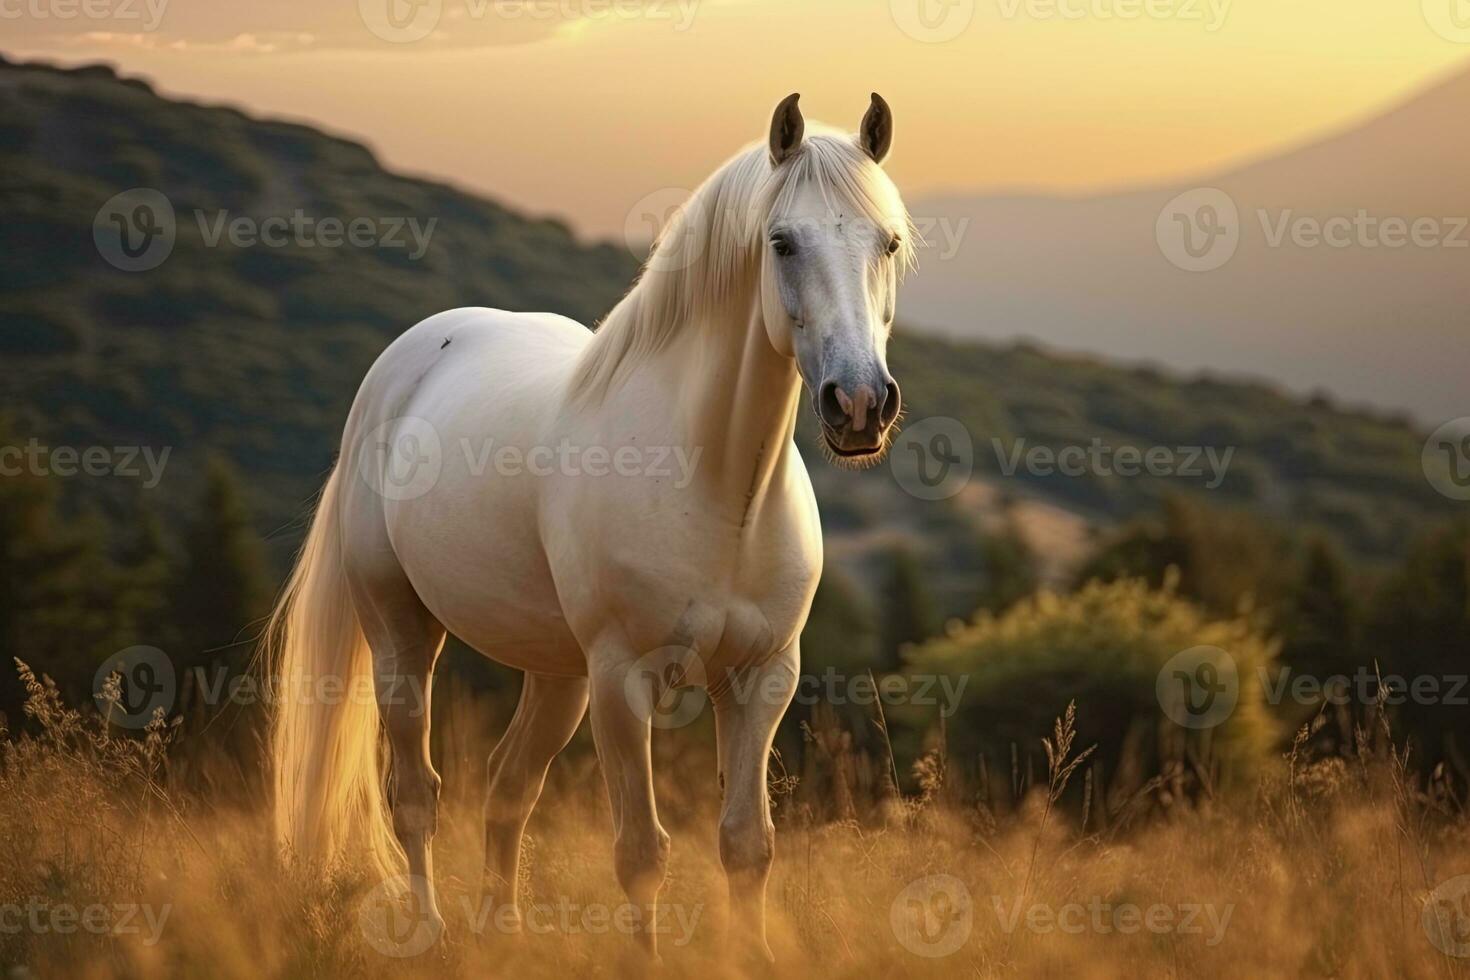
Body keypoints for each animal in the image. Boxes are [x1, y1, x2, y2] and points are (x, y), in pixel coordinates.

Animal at [264, 91, 905, 957]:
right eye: (782, 241)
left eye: (889, 240)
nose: (860, 405)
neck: (719, 491)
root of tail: (401, 367)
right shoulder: (623, 681)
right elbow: (640, 854)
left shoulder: (762, 678)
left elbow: (747, 845)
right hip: (404, 634)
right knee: (414, 794)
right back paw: (433, 932)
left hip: (557, 674)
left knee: (507, 786)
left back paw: (501, 933)